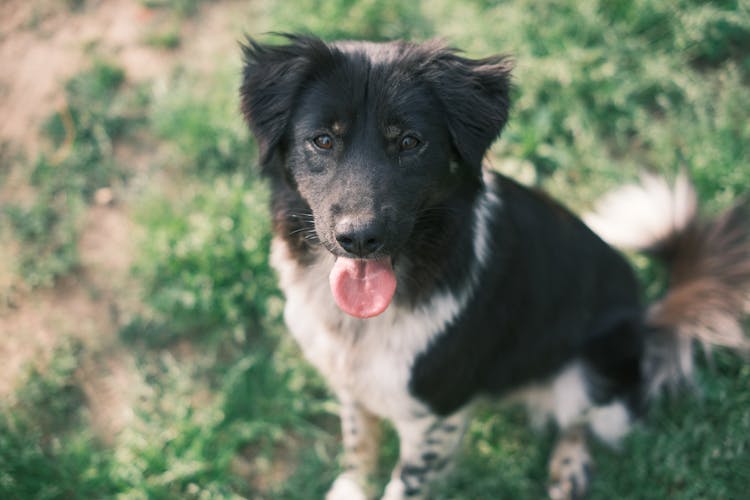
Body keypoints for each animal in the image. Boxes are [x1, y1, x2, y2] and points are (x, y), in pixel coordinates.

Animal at [239, 33, 750, 498]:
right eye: (323, 140)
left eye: (410, 141)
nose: (360, 238)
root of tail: (648, 317)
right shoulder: (351, 383)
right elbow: (358, 445)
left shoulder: (435, 412)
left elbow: (406, 482)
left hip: (588, 373)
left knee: (588, 420)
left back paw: (569, 468)